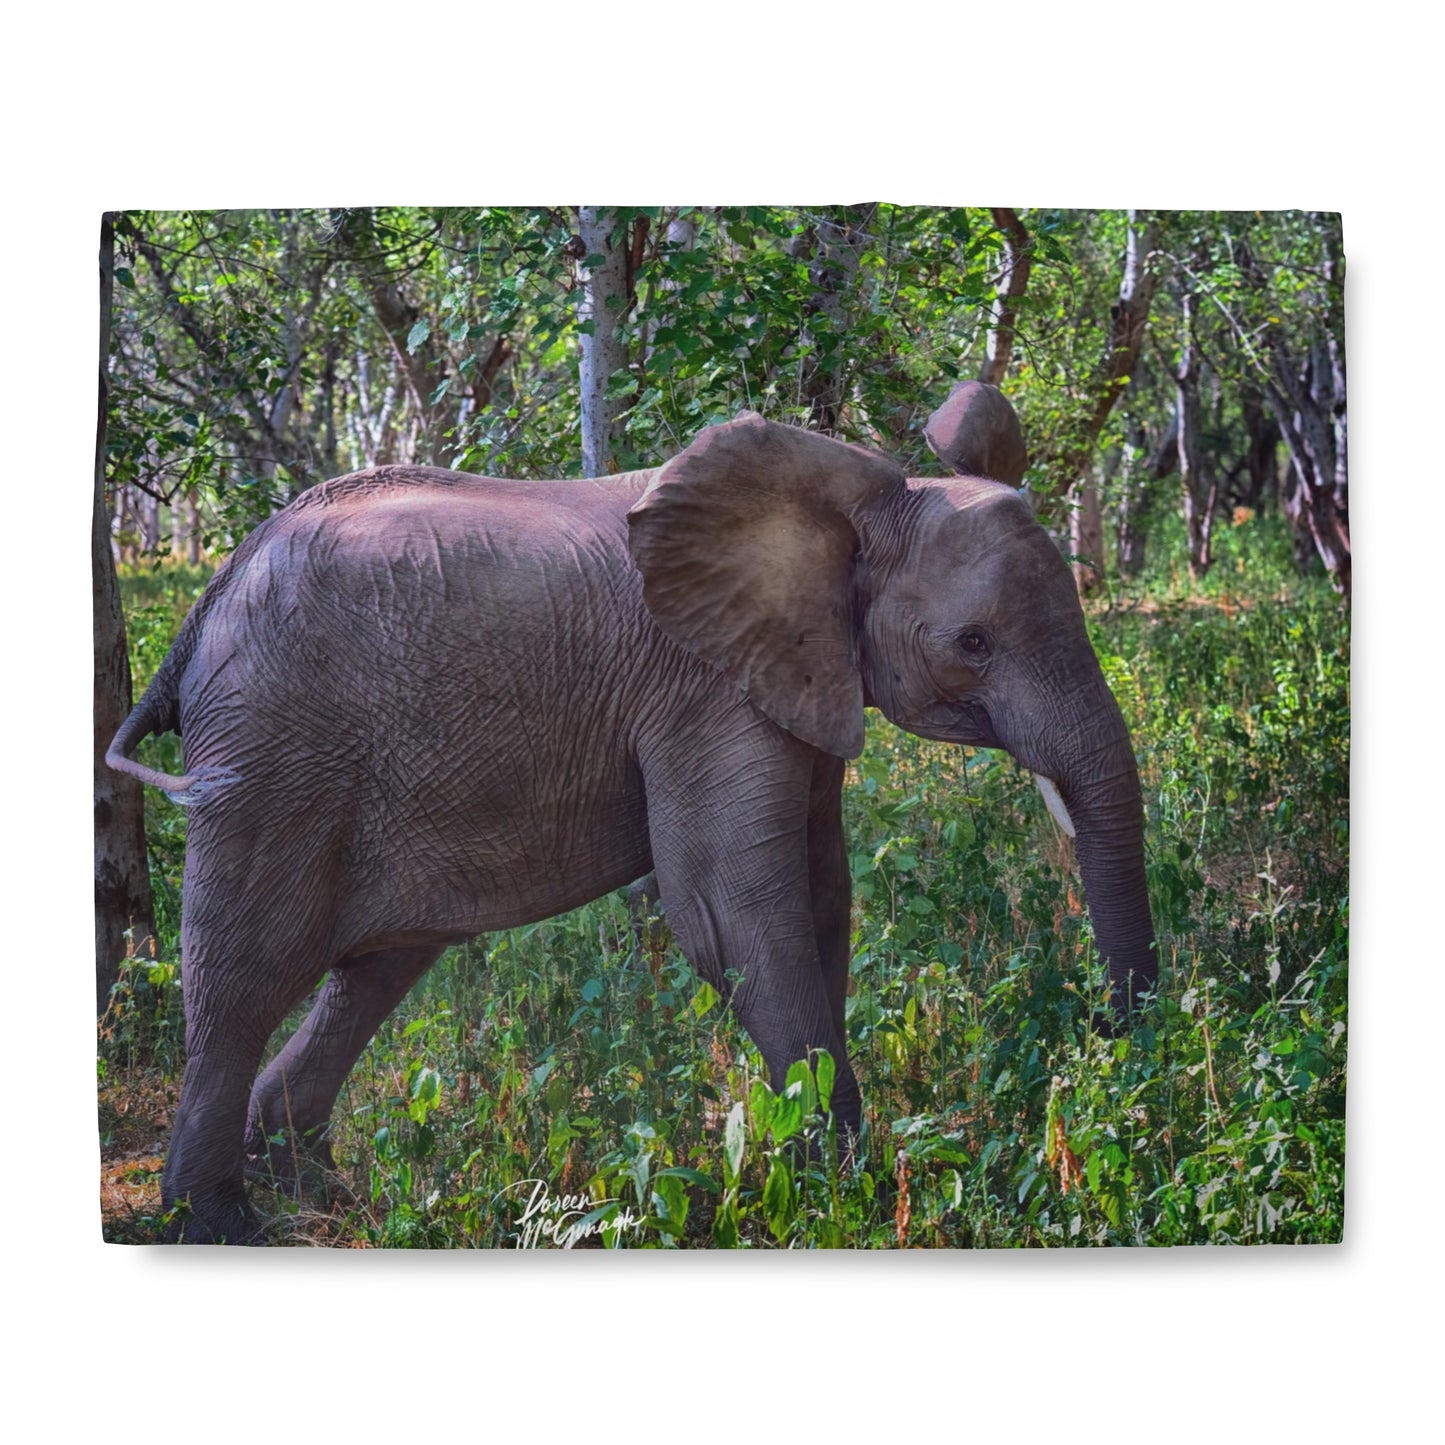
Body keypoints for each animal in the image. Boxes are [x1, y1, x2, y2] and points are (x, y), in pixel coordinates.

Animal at [107, 399, 1156, 1243]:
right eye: (972, 643)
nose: (1112, 1044)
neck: (855, 501)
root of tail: (206, 602)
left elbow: (822, 897)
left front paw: (824, 1164)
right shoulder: (704, 689)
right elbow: (731, 910)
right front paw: (840, 1189)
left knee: (378, 965)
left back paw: (319, 1196)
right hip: (277, 751)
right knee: (245, 975)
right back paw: (217, 1223)